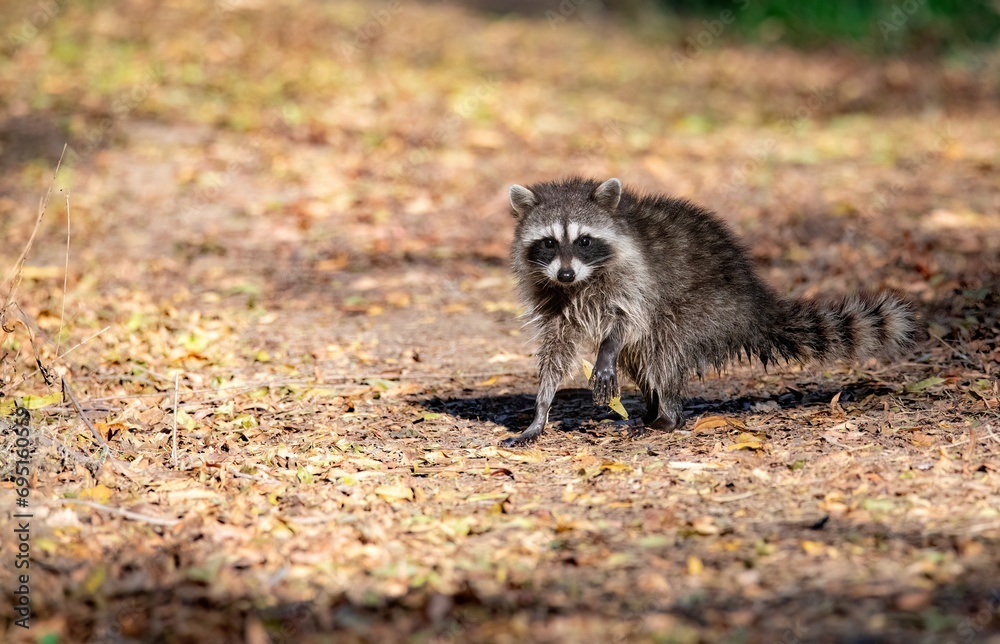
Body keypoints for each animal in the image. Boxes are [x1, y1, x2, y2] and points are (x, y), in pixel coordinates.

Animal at [502, 176, 917, 446]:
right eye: (549, 242)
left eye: (584, 240)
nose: (566, 273)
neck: (579, 282)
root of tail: (753, 302)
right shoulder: (551, 294)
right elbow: (558, 347)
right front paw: (541, 410)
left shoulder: (635, 274)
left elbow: (630, 319)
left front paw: (607, 350)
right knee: (644, 356)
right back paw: (653, 407)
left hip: (706, 307)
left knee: (663, 343)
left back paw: (666, 417)